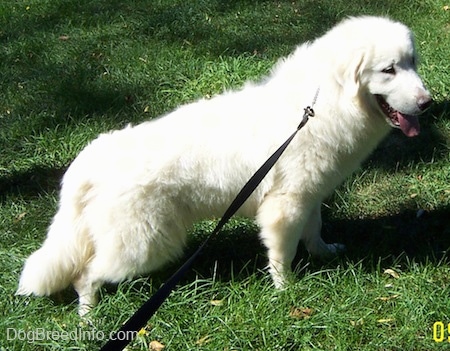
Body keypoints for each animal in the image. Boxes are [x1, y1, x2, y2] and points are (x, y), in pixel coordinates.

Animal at [17, 16, 432, 316]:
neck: (322, 103)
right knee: (85, 274)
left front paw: (323, 252)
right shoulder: (283, 208)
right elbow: (282, 254)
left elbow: (313, 230)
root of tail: (89, 160)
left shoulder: (307, 195)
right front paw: (286, 291)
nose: (428, 103)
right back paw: (89, 315)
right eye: (389, 70)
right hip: (146, 244)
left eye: (412, 62)